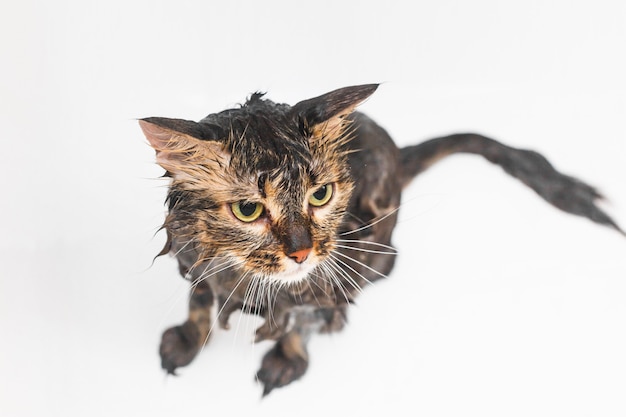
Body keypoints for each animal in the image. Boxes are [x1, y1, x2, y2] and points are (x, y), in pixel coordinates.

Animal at [140, 83, 620, 394]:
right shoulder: (194, 258)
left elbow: (305, 320)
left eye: (320, 194)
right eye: (248, 210)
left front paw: (287, 359)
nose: (302, 252)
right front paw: (187, 339)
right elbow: (199, 301)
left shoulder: (331, 274)